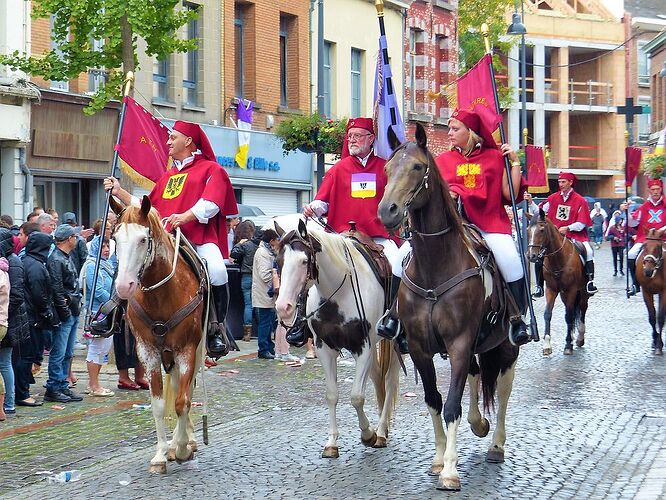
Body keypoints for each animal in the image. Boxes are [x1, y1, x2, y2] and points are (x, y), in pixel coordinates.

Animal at [111, 195, 205, 472]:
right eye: (115, 239)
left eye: (143, 239)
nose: (124, 286)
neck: (161, 296)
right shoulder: (148, 352)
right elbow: (159, 404)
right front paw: (161, 454)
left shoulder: (187, 350)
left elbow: (182, 401)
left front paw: (182, 449)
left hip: (196, 351)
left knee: (187, 391)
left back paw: (185, 441)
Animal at [274, 219, 400, 458]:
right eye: (279, 262)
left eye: (304, 261)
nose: (283, 307)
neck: (338, 296)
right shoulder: (324, 348)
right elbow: (332, 394)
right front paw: (331, 443)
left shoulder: (363, 348)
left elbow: (357, 396)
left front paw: (368, 434)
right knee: (377, 378)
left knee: (389, 381)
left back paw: (380, 431)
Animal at [376, 123, 516, 490]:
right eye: (387, 169)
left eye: (417, 167)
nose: (386, 211)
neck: (435, 265)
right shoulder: (421, 348)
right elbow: (434, 399)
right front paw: (439, 459)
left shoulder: (460, 343)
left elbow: (451, 404)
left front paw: (451, 471)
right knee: (476, 375)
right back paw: (478, 423)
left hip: (507, 347)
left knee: (503, 390)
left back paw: (496, 444)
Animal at [524, 208, 588, 356]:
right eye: (528, 230)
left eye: (542, 230)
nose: (531, 256)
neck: (559, 260)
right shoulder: (551, 289)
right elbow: (548, 314)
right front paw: (547, 344)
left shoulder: (571, 290)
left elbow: (569, 316)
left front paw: (568, 344)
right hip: (564, 294)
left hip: (582, 292)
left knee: (582, 309)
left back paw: (580, 337)